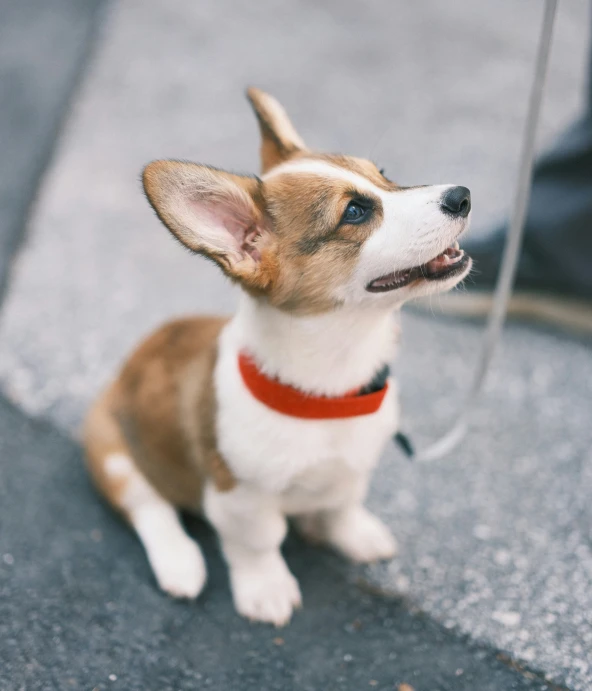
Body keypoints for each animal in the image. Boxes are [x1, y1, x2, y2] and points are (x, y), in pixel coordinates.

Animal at [82, 86, 472, 628]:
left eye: (383, 174)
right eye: (355, 212)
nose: (463, 195)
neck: (331, 384)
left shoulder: (353, 469)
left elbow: (343, 503)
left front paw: (354, 533)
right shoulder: (238, 497)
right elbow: (258, 544)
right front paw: (266, 590)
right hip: (111, 450)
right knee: (148, 506)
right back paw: (180, 563)